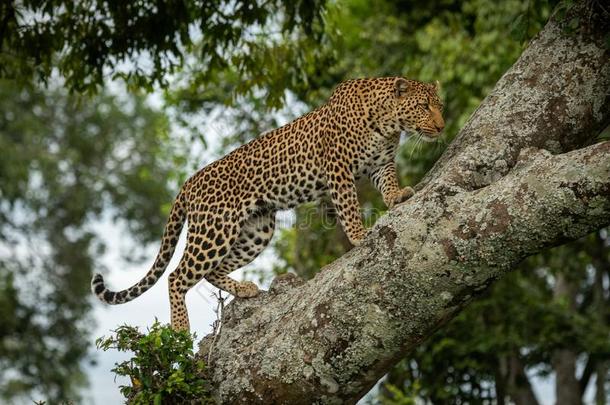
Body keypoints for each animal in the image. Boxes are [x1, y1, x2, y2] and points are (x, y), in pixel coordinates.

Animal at [91, 76, 442, 332]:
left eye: (439, 105)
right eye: (424, 106)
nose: (440, 126)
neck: (388, 122)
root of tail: (190, 182)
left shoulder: (381, 163)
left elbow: (388, 181)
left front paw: (397, 196)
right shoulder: (338, 168)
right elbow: (348, 205)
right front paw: (358, 235)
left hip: (257, 228)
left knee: (212, 270)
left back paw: (244, 289)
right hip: (215, 229)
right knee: (177, 276)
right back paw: (179, 327)